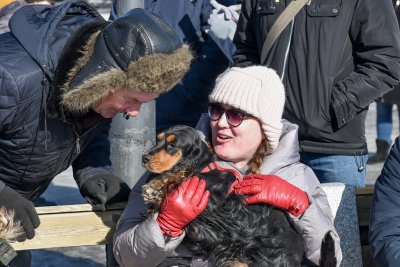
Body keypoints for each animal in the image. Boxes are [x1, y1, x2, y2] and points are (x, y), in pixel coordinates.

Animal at [142, 125, 336, 267]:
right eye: (158, 139)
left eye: (172, 145)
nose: (144, 157)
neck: (204, 165)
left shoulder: (212, 201)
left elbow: (182, 178)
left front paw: (155, 187)